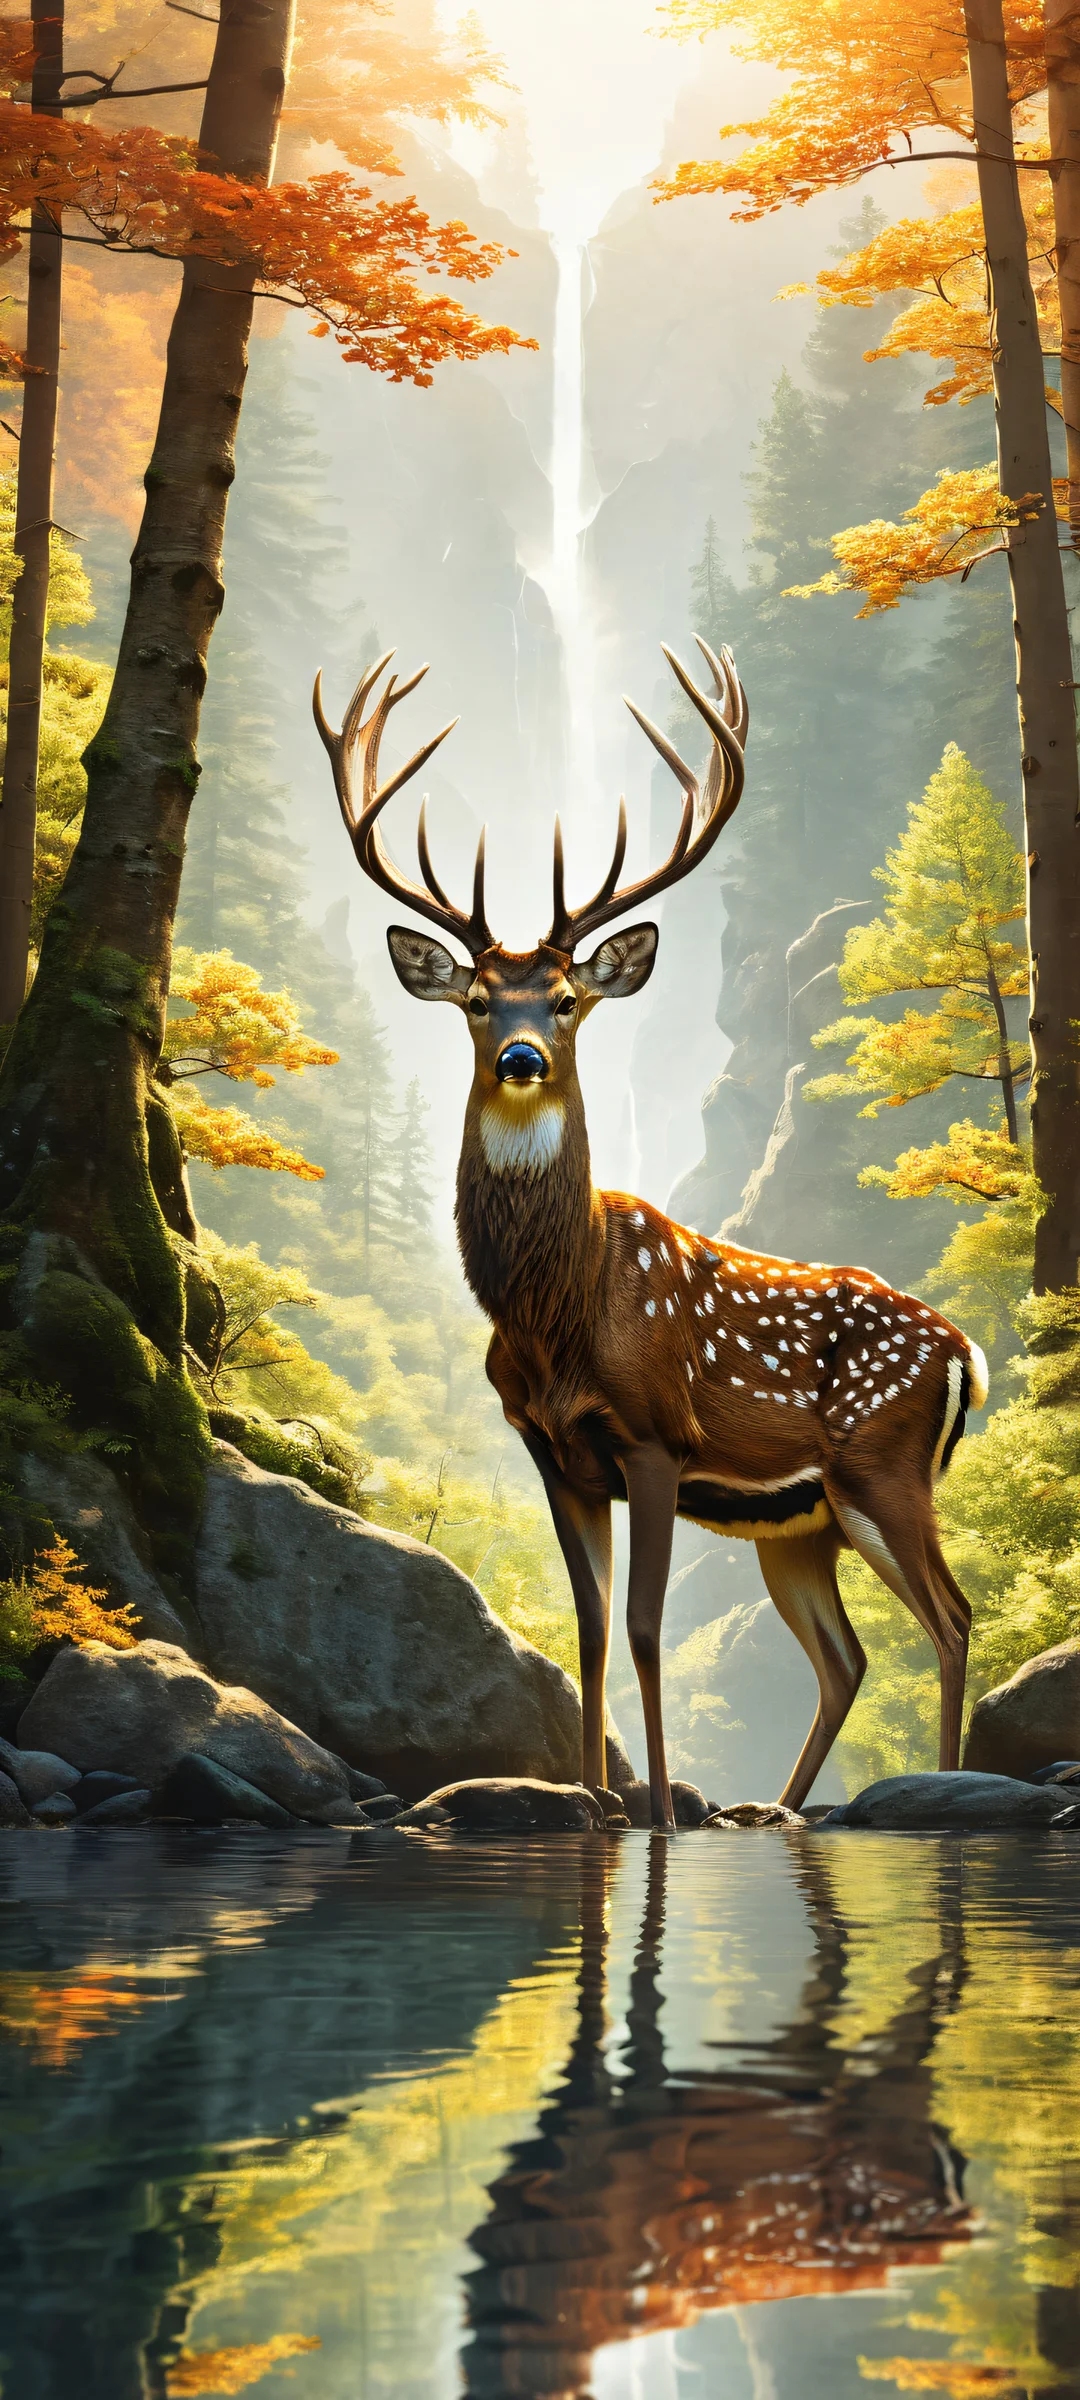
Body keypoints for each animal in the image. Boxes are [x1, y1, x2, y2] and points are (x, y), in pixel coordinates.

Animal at [313, 640, 989, 1830]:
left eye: (570, 998)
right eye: (478, 1000)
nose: (523, 1058)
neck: (558, 1314)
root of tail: (967, 1354)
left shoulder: (657, 1438)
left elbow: (642, 1626)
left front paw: (662, 1815)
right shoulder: (554, 1450)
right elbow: (586, 1626)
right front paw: (592, 1800)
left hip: (885, 1464)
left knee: (950, 1618)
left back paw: (931, 1788)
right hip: (801, 1523)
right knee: (848, 1657)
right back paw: (776, 1808)